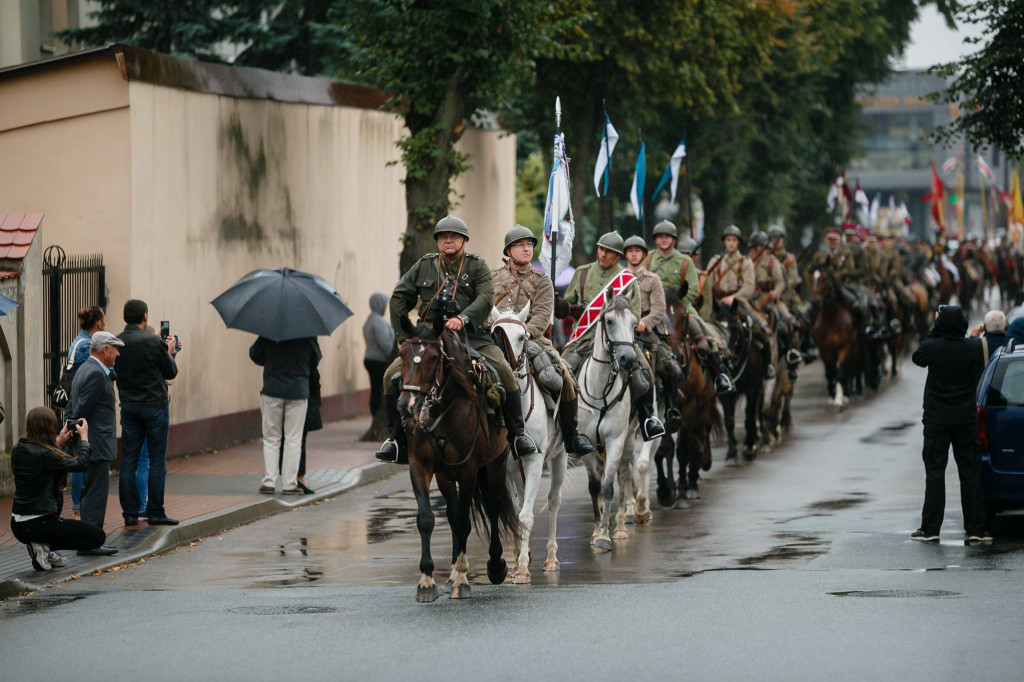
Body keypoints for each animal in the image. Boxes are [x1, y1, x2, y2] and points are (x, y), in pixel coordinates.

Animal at [393, 319, 516, 602]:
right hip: (445, 474)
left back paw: (495, 566)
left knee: (492, 507)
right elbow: (427, 518)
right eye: (402, 354)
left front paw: (461, 577)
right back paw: (448, 575)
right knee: (451, 513)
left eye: (433, 357)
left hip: (496, 462)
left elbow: (464, 521)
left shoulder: (468, 469)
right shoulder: (421, 466)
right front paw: (427, 580)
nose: (407, 405)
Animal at [487, 303, 569, 585]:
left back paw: (552, 559)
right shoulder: (506, 467)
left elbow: (525, 515)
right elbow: (516, 511)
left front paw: (522, 569)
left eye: (522, 337)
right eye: (493, 335)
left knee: (554, 502)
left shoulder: (534, 460)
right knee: (524, 499)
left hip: (559, 457)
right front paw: (518, 561)